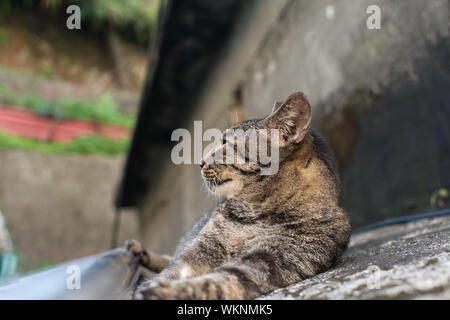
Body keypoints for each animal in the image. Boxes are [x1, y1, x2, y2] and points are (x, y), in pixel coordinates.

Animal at [134, 92, 352, 300]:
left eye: (225, 144)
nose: (200, 162)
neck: (254, 212)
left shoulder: (267, 262)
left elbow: (216, 282)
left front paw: (162, 292)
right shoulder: (200, 250)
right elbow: (173, 270)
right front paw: (149, 285)